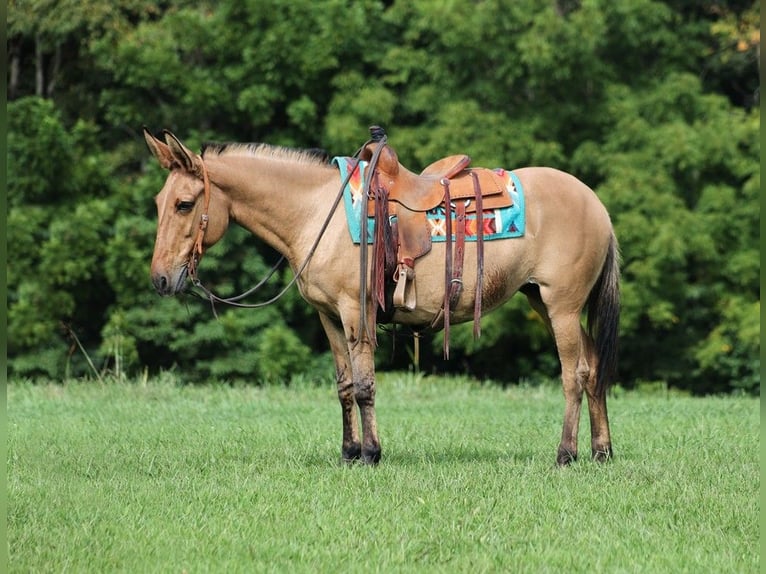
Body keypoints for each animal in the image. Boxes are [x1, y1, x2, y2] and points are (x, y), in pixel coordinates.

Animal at [146, 126, 624, 468]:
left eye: (184, 204)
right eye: (158, 202)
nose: (161, 280)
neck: (317, 214)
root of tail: (596, 203)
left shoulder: (354, 312)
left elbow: (364, 386)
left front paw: (371, 454)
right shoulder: (328, 316)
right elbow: (343, 386)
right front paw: (348, 453)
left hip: (562, 306)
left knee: (575, 373)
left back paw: (566, 454)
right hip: (541, 302)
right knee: (594, 366)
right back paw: (601, 451)